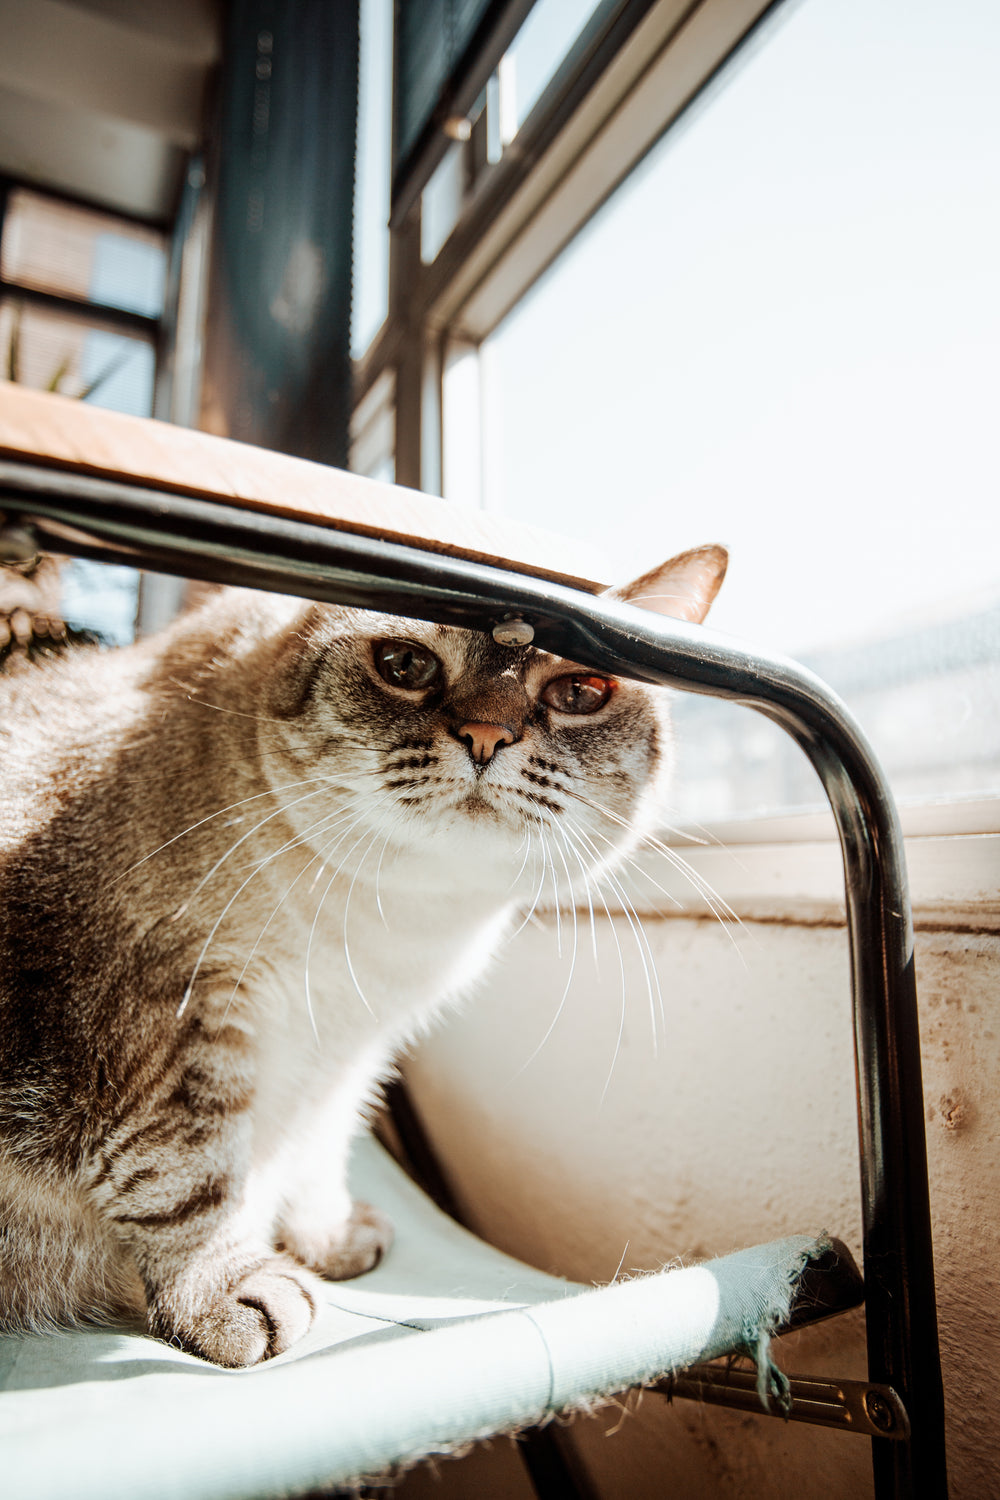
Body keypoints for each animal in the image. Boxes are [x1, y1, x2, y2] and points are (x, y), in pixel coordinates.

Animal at [0, 546, 722, 1368]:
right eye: (405, 665)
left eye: (578, 692)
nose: (486, 735)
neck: (383, 933)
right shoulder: (174, 1015)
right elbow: (191, 1176)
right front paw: (230, 1295)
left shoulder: (349, 1050)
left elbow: (313, 1151)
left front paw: (327, 1240)